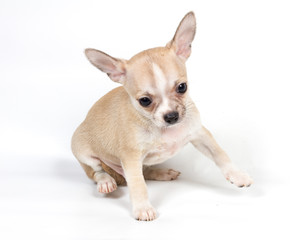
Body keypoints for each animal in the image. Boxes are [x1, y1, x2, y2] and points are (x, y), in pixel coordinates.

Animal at [72, 11, 253, 221]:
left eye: (182, 87)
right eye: (144, 101)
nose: (171, 116)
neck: (165, 130)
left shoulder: (200, 134)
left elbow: (220, 154)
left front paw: (238, 175)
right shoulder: (131, 158)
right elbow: (138, 185)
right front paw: (142, 208)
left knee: (146, 171)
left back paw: (163, 173)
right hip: (83, 152)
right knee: (97, 172)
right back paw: (106, 182)